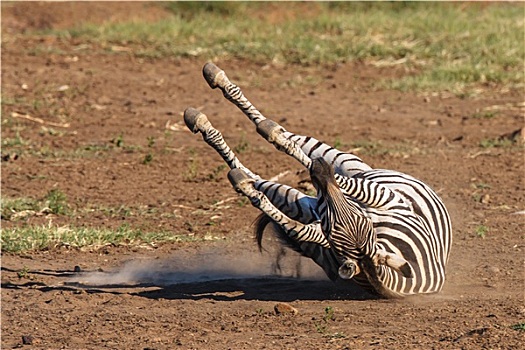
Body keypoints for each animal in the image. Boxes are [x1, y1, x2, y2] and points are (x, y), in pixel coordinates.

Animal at [183, 63, 450, 298]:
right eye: (333, 227)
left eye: (361, 220)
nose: (321, 173)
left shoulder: (381, 197)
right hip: (313, 197)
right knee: (274, 173)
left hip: (342, 171)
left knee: (285, 149)